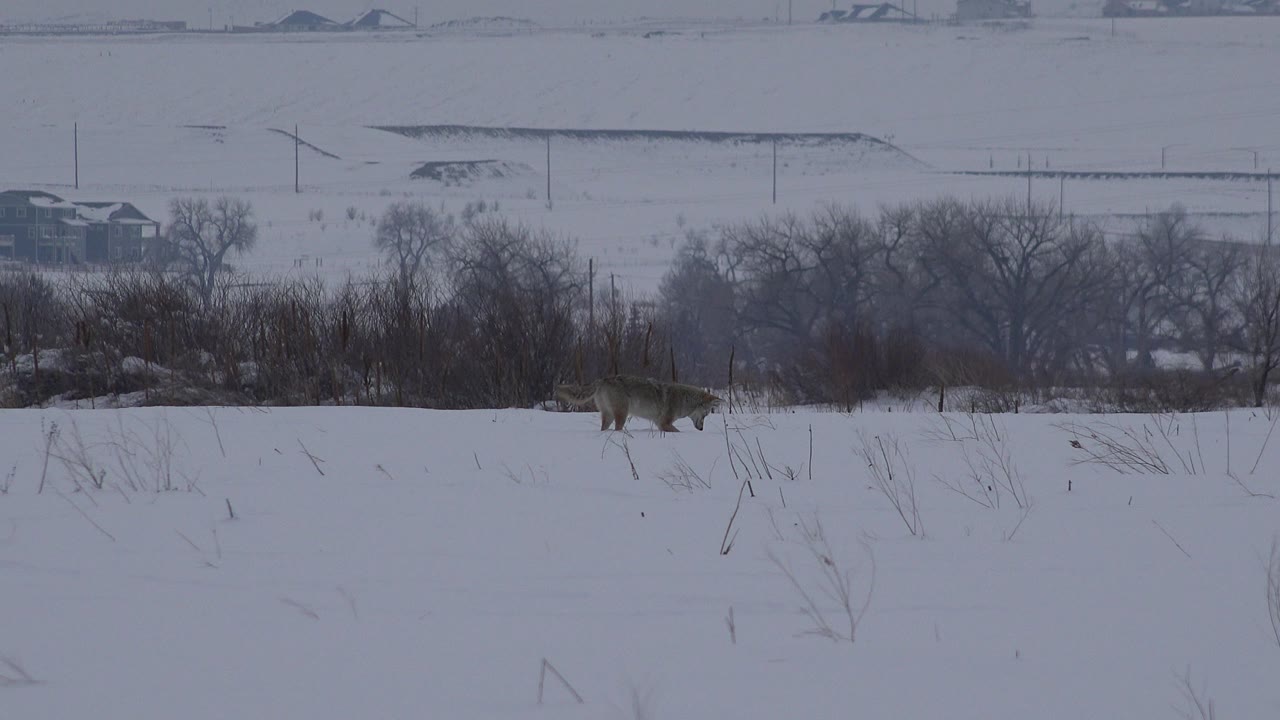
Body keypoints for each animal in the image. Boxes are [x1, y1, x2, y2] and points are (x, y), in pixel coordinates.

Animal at [555, 375, 722, 432]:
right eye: (706, 415)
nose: (701, 429)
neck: (684, 399)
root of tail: (603, 379)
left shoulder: (659, 424)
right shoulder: (664, 423)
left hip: (609, 416)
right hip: (622, 414)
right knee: (617, 429)